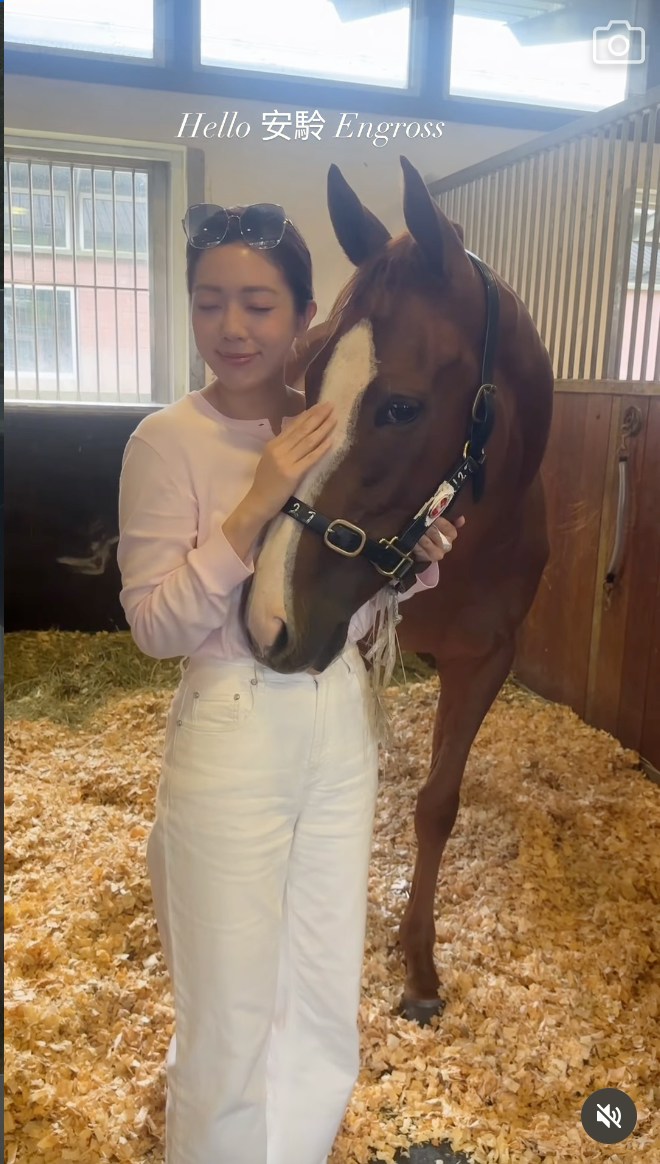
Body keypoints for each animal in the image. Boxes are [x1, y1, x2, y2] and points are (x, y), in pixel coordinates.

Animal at [244, 156, 554, 1022]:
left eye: (403, 406)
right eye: (310, 379)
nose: (268, 619)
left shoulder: (486, 660)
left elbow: (436, 804)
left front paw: (418, 966)